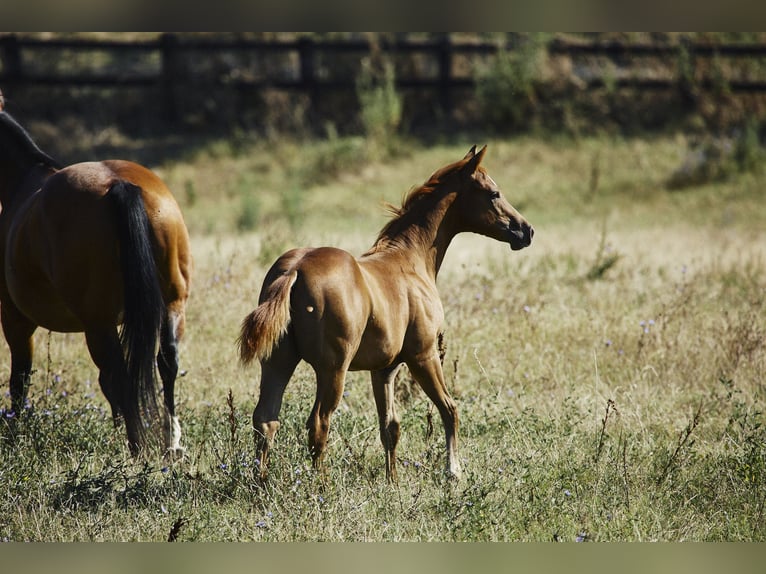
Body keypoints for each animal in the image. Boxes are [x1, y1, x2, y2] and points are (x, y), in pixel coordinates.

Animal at [0, 90, 192, 460]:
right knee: (165, 362)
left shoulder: (14, 318)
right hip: (171, 305)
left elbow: (20, 380)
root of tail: (119, 185)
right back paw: (170, 442)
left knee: (121, 376)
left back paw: (136, 449)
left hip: (97, 324)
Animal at [238, 144, 536, 482]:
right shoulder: (423, 355)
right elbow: (449, 409)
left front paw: (392, 481)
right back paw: (320, 486)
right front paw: (453, 471)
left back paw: (261, 484)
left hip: (277, 361)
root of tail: (296, 269)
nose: (526, 231)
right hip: (333, 368)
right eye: (494, 193)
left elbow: (390, 427)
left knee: (265, 419)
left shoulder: (384, 369)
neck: (410, 260)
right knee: (318, 424)